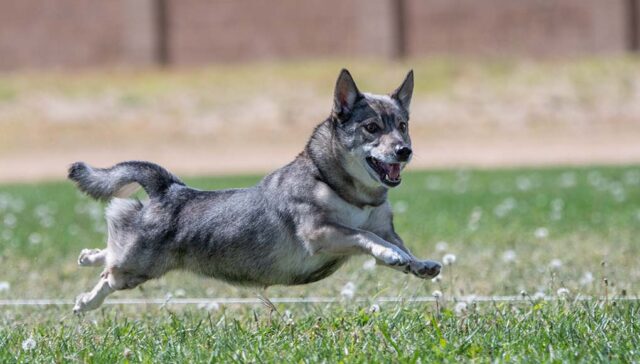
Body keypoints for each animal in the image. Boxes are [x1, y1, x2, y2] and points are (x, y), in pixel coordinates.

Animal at [69, 69, 440, 312]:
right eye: (372, 128)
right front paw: (391, 256)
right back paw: (86, 302)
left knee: (110, 252)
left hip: (136, 259)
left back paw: (87, 256)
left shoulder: (383, 228)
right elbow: (367, 238)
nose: (404, 150)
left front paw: (417, 263)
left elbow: (398, 245)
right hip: (137, 267)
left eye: (403, 126)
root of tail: (169, 189)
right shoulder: (321, 232)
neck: (346, 190)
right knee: (110, 273)